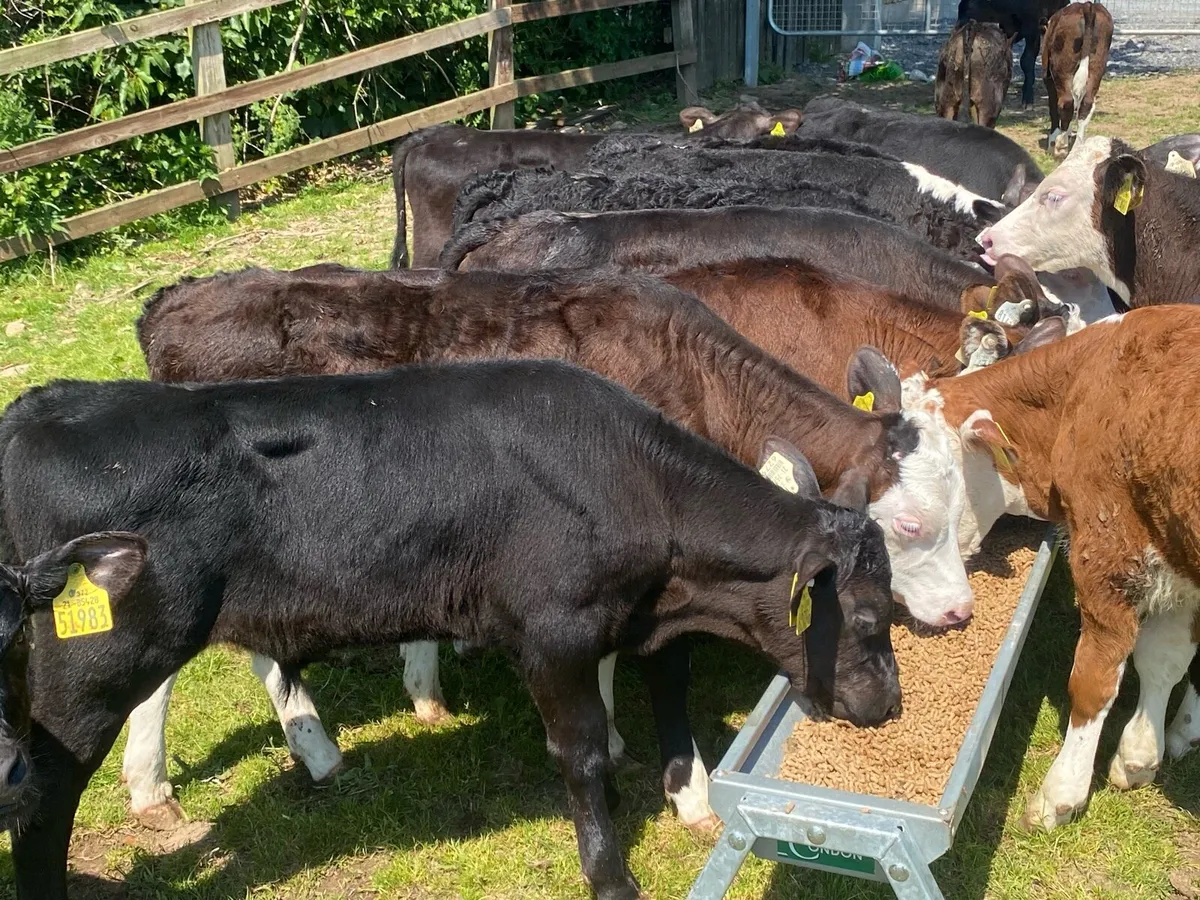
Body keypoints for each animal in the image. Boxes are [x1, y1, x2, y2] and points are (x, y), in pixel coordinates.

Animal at [0, 358, 900, 900]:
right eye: (864, 613)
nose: (889, 704)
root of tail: (47, 404)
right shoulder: (552, 632)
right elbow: (578, 755)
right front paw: (611, 874)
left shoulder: (634, 617)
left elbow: (663, 686)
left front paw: (678, 797)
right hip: (89, 665)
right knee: (43, 795)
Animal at [129, 265, 969, 832]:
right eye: (909, 526)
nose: (962, 613)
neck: (692, 377)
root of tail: (176, 297)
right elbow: (663, 669)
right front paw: (688, 790)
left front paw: (609, 728)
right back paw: (193, 774)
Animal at [901, 306, 1200, 833]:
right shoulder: (1172, 553)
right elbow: (1164, 657)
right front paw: (1141, 754)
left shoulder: (1106, 555)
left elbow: (1094, 679)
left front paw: (1061, 793)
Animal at [1043, 2, 1114, 158]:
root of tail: (1087, 5)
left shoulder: (1048, 77)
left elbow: (1053, 105)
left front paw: (1053, 139)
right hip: (1096, 65)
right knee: (1086, 104)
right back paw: (1077, 147)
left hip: (1061, 68)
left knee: (1066, 103)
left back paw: (1060, 146)